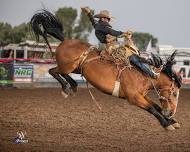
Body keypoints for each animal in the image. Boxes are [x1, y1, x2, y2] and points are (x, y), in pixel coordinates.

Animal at [30, 9, 183, 131]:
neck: (144, 76)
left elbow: (156, 106)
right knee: (53, 71)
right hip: (67, 66)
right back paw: (66, 89)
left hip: (77, 69)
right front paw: (167, 124)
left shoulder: (142, 96)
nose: (171, 112)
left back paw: (72, 86)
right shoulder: (134, 97)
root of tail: (65, 40)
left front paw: (173, 121)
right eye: (175, 93)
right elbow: (152, 109)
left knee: (62, 73)